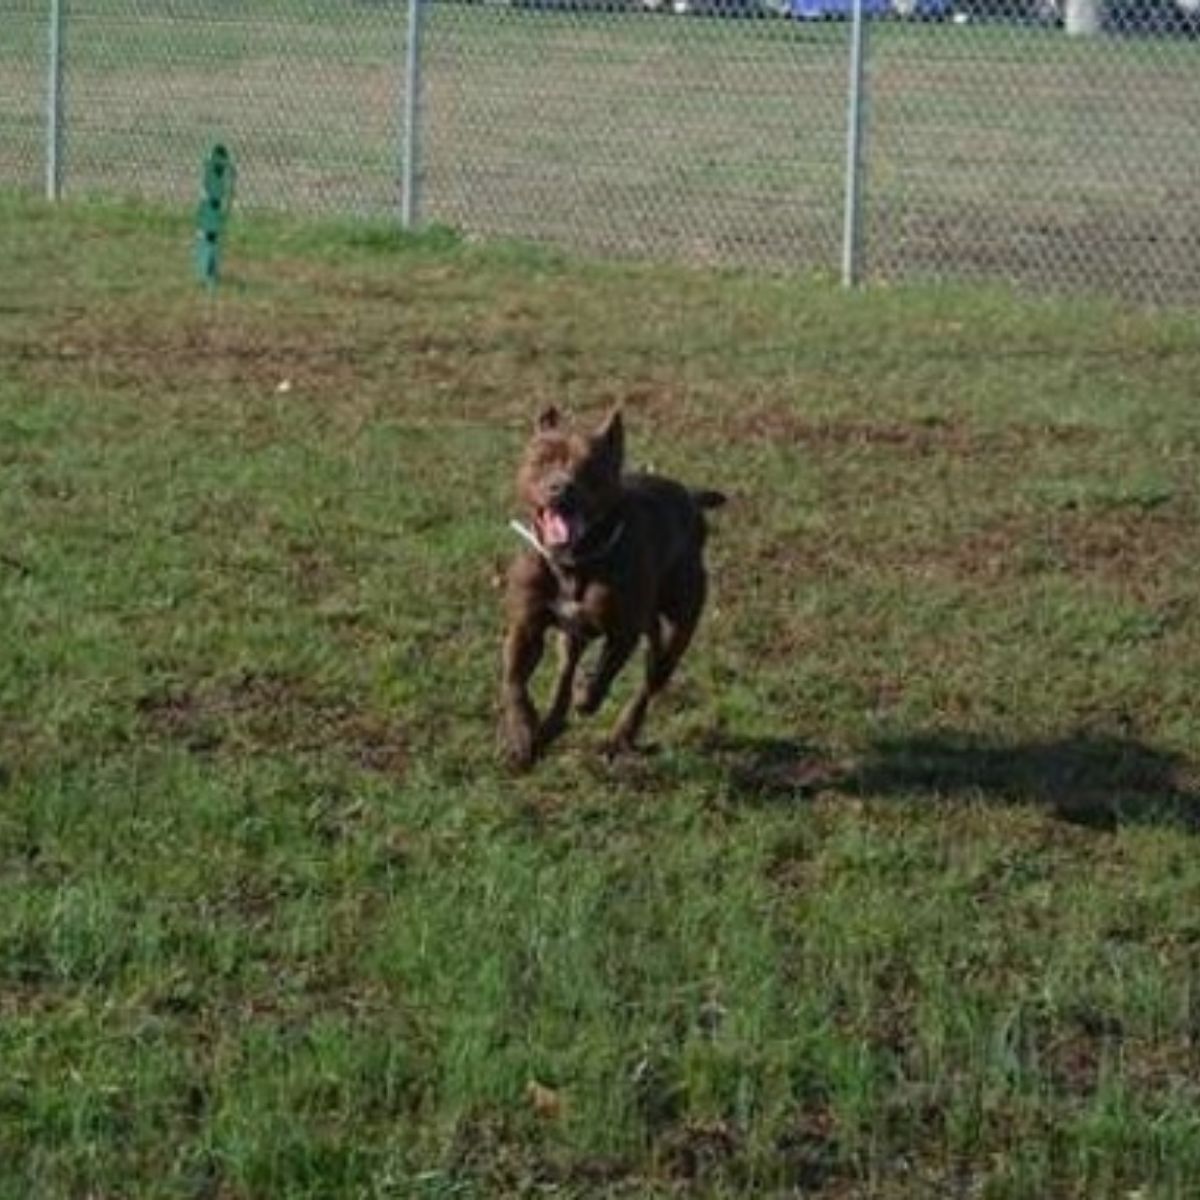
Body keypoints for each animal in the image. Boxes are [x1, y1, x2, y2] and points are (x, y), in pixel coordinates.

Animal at [496, 408, 720, 768]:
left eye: (589, 467)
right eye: (542, 460)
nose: (560, 487)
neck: (574, 563)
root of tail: (691, 498)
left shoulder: (623, 631)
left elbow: (605, 671)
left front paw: (588, 697)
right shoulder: (526, 626)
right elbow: (514, 681)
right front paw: (521, 733)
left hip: (678, 627)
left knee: (651, 681)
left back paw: (621, 733)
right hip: (575, 637)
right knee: (565, 675)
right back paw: (548, 729)